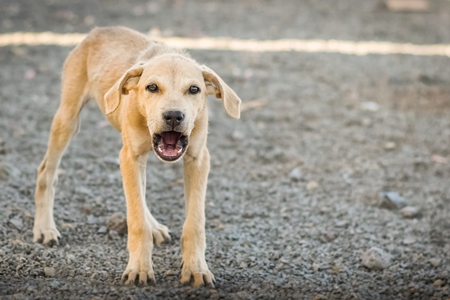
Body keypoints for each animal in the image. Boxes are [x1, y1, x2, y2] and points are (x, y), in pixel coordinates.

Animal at [33, 27, 241, 288]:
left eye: (194, 89)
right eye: (152, 87)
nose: (173, 116)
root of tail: (97, 31)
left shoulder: (198, 159)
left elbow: (194, 223)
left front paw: (195, 268)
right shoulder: (130, 157)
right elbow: (136, 220)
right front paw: (139, 268)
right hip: (68, 118)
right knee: (46, 172)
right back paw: (44, 229)